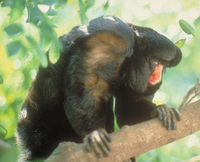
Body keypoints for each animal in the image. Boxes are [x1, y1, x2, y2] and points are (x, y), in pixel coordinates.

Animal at [16, 16, 182, 161]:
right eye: (156, 63)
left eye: (163, 66)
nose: (158, 77)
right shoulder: (111, 40)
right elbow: (89, 88)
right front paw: (93, 132)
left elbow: (127, 106)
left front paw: (158, 110)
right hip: (41, 131)